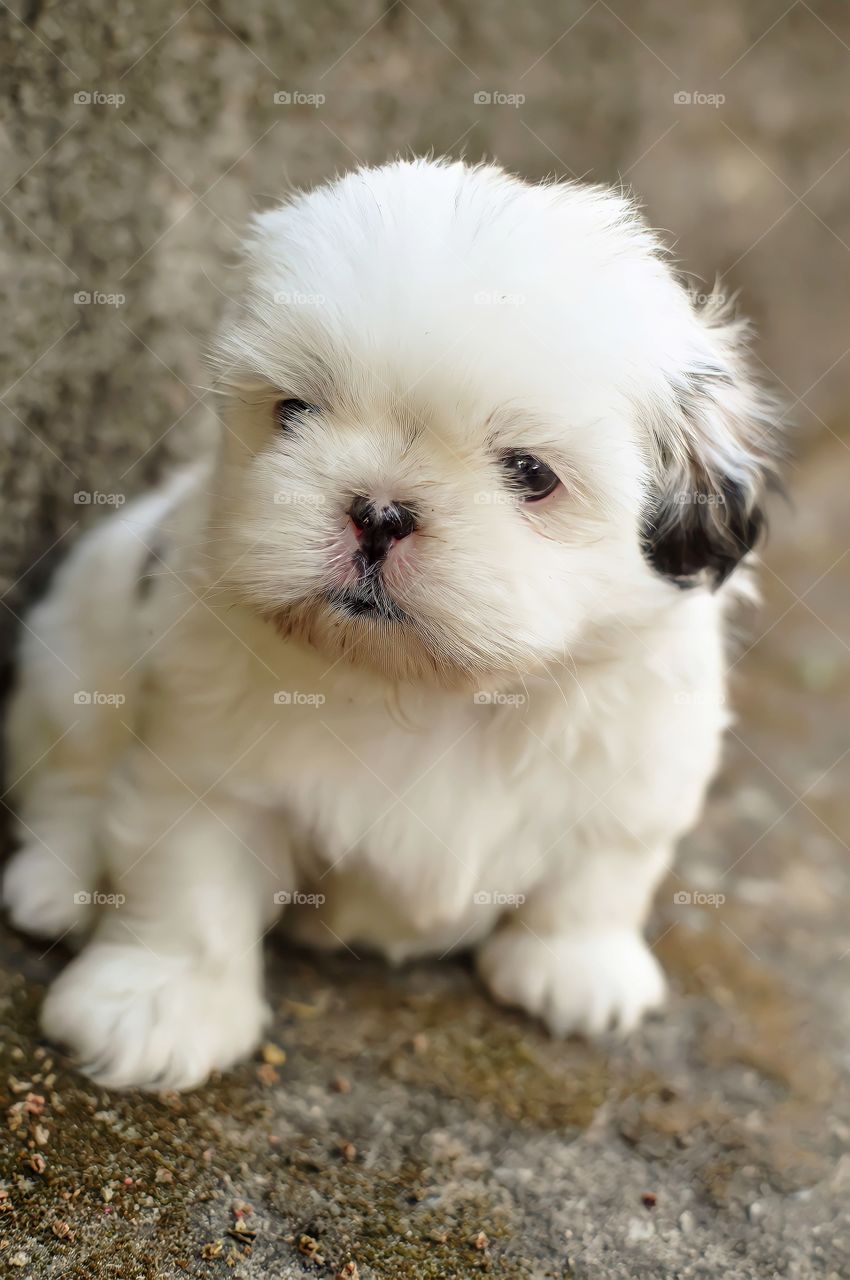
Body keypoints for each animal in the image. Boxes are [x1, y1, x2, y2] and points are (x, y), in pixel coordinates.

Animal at [3, 154, 778, 1085]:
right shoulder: (206, 771)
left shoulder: (640, 765)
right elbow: (189, 886)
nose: (378, 511)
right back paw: (57, 881)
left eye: (531, 474)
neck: (430, 691)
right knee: (68, 772)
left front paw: (577, 966)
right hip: (79, 642)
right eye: (293, 412)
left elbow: (600, 872)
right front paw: (159, 1005)